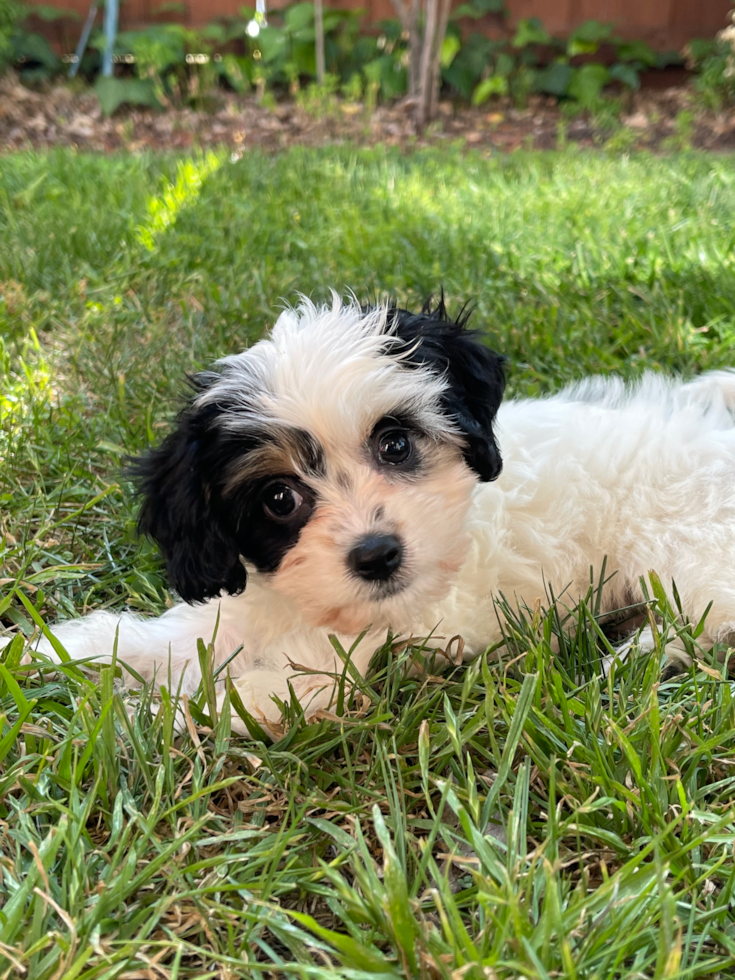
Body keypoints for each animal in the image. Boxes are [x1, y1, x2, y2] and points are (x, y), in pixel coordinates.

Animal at [5, 292, 735, 728]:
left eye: (395, 443)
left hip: (684, 551)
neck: (308, 609)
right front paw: (43, 652)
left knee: (707, 618)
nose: (377, 555)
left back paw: (638, 655)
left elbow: (262, 690)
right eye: (278, 498)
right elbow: (149, 640)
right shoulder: (233, 613)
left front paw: (149, 716)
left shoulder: (364, 656)